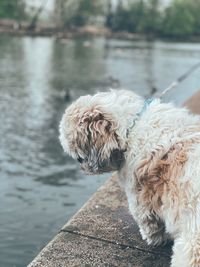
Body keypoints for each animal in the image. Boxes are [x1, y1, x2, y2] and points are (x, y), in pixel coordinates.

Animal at [59, 90, 200, 267]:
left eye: (75, 146)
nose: (80, 162)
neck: (131, 127)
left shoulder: (138, 197)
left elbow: (149, 222)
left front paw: (153, 239)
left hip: (191, 246)